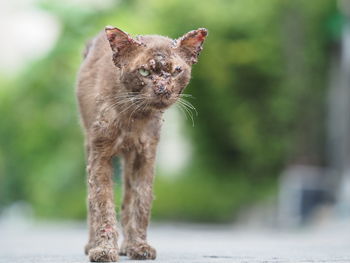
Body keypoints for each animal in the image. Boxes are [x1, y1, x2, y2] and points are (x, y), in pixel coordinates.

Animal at [76, 25, 206, 262]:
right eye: (144, 72)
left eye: (176, 71)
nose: (163, 89)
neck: (133, 116)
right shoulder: (100, 154)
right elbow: (102, 202)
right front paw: (104, 250)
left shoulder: (145, 154)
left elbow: (141, 200)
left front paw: (139, 246)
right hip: (88, 143)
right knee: (91, 199)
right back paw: (91, 244)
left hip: (129, 158)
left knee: (128, 196)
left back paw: (127, 245)